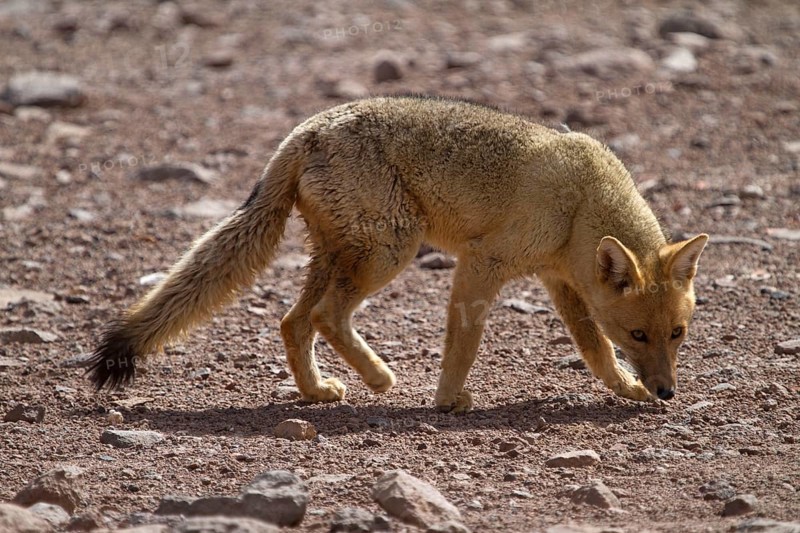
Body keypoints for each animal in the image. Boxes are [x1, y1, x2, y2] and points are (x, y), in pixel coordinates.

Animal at [87, 95, 708, 412]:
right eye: (639, 335)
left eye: (677, 334)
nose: (667, 391)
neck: (582, 198)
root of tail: (305, 129)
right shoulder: (482, 263)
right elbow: (464, 343)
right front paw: (447, 401)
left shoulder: (559, 281)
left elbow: (592, 349)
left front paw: (626, 390)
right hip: (392, 251)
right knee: (322, 315)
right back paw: (380, 380)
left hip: (343, 255)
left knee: (293, 321)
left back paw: (317, 391)